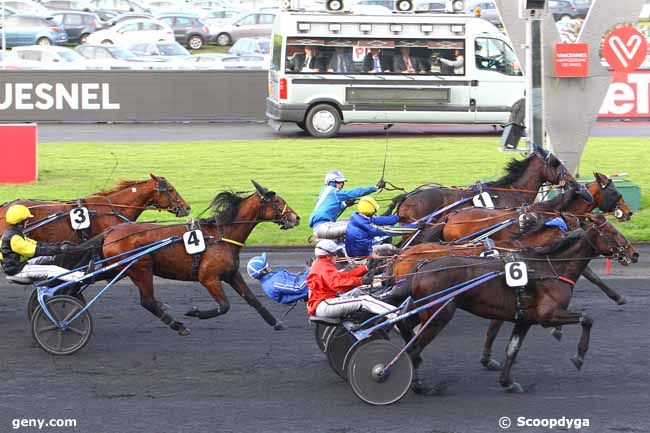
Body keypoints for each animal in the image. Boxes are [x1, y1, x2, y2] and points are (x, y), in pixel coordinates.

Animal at [102, 181, 302, 336]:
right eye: (277, 200)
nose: (296, 217)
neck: (221, 235)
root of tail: (111, 233)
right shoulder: (208, 277)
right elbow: (224, 306)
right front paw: (195, 312)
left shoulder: (231, 274)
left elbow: (253, 299)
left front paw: (276, 322)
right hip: (141, 269)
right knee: (148, 301)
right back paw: (178, 325)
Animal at [402, 214, 636, 394]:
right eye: (613, 232)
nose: (634, 253)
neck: (550, 269)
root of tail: (421, 267)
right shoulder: (547, 315)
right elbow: (587, 318)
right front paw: (579, 356)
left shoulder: (524, 319)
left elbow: (512, 349)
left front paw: (507, 382)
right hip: (439, 315)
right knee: (414, 348)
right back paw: (419, 386)